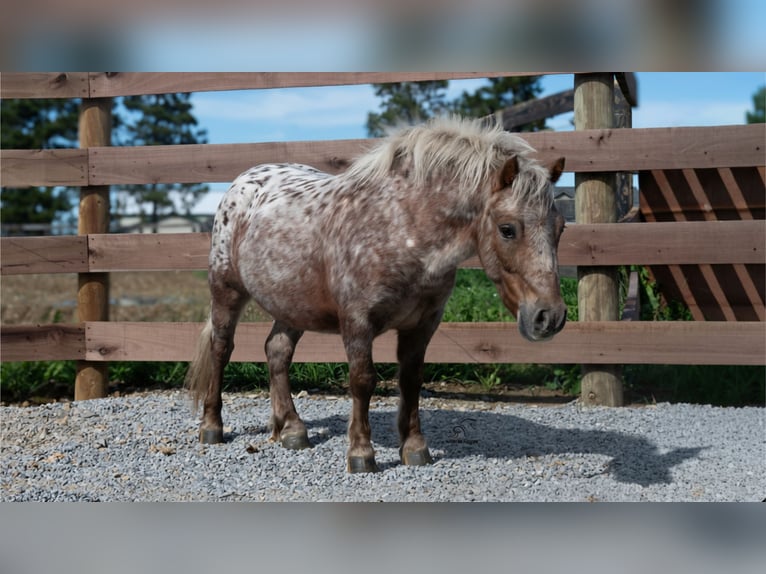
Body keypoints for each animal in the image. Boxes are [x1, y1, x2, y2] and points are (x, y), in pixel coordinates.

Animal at [185, 116, 567, 473]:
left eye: (561, 227)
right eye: (507, 229)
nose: (549, 317)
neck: (403, 225)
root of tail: (244, 182)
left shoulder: (423, 324)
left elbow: (411, 380)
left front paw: (415, 448)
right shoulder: (357, 322)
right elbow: (363, 381)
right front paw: (361, 453)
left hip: (292, 304)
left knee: (277, 352)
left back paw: (292, 429)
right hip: (226, 291)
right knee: (222, 349)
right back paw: (212, 427)